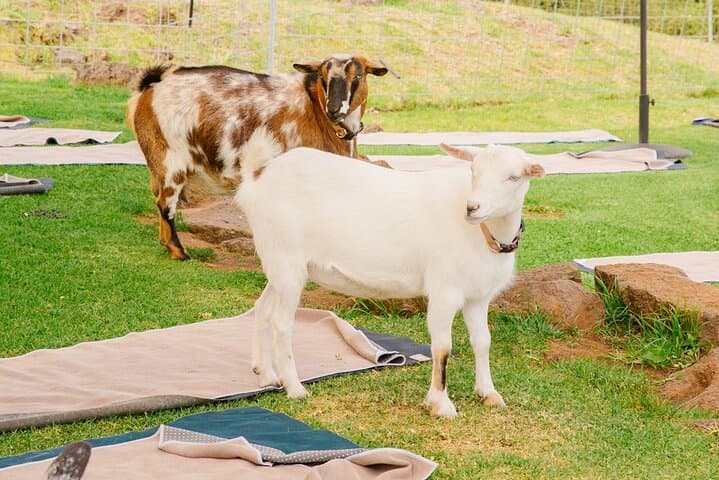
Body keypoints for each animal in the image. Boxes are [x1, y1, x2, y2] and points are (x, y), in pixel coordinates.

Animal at [126, 54, 387, 260]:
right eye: (323, 77)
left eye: (358, 76)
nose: (334, 109)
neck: (315, 110)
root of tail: (151, 87)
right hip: (171, 159)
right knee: (165, 204)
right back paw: (179, 252)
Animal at [234, 141, 545, 418]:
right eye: (473, 170)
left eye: (514, 177)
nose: (472, 208)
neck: (484, 234)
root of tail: (256, 178)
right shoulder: (444, 290)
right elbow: (443, 347)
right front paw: (440, 404)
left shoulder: (478, 297)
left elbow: (482, 341)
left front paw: (488, 393)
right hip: (286, 259)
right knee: (282, 322)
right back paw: (295, 388)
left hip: (281, 265)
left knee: (262, 308)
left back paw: (266, 374)